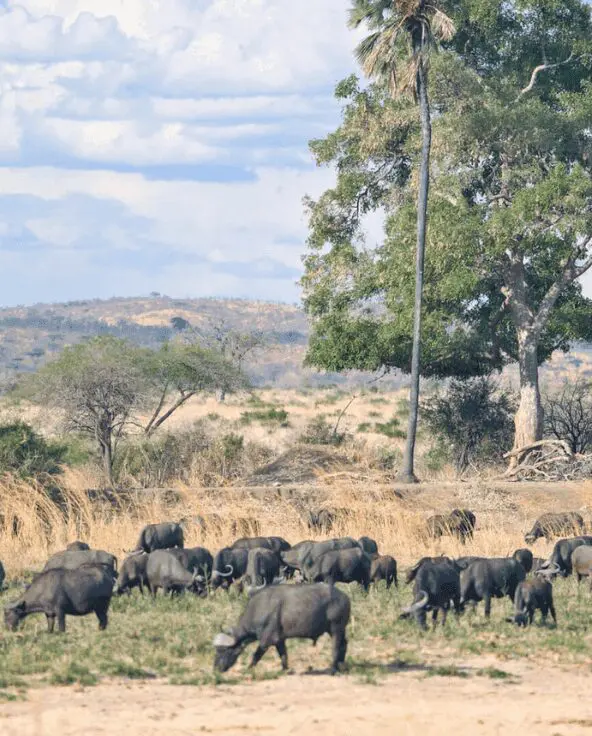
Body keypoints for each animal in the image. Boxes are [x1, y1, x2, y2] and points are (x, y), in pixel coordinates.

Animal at [213, 583, 350, 674]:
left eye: (223, 650)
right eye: (217, 650)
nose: (216, 669)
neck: (259, 608)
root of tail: (344, 597)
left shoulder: (267, 640)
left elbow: (256, 655)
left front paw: (249, 669)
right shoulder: (280, 640)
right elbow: (283, 654)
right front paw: (285, 669)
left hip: (335, 628)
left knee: (336, 646)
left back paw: (333, 669)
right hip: (339, 630)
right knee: (344, 644)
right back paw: (341, 665)